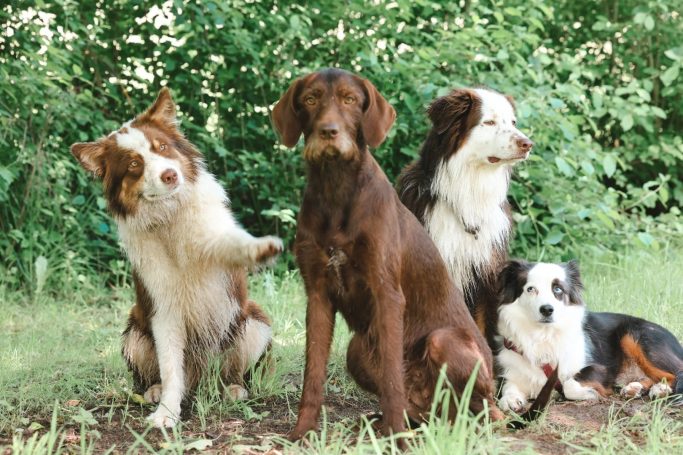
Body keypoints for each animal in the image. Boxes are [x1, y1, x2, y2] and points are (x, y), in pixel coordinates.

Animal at [71, 88, 282, 428]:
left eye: (162, 147)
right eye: (134, 164)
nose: (169, 175)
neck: (168, 218)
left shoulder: (215, 244)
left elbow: (229, 242)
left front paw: (260, 248)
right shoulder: (163, 309)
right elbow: (170, 368)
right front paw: (167, 412)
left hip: (254, 323)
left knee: (232, 372)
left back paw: (233, 388)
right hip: (134, 332)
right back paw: (154, 390)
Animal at [272, 68, 502, 442]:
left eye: (350, 99)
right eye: (310, 98)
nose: (328, 132)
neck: (336, 191)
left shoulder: (387, 293)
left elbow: (392, 377)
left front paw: (397, 437)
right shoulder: (317, 295)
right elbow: (312, 375)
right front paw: (302, 432)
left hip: (445, 342)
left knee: (480, 411)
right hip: (358, 351)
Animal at [496, 260, 683, 414]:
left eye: (557, 289)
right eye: (530, 289)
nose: (547, 310)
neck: (544, 335)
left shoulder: (600, 368)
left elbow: (569, 384)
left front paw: (589, 393)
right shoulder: (512, 368)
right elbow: (506, 389)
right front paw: (510, 399)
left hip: (637, 337)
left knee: (676, 371)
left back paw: (661, 389)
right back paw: (635, 388)